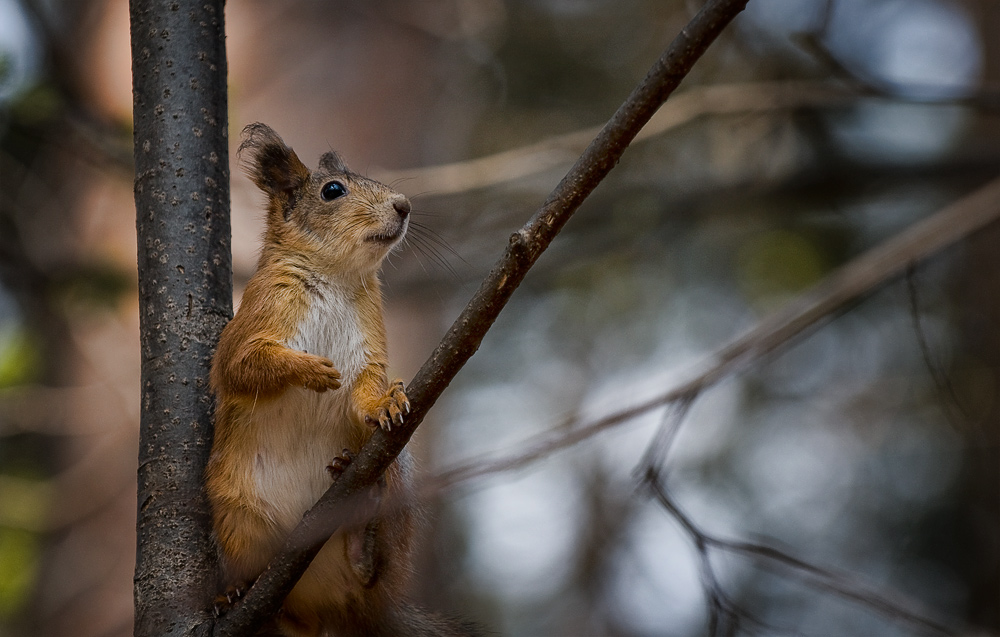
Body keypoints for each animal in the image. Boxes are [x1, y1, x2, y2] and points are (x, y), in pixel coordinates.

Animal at [205, 124, 474, 636]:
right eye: (333, 191)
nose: (404, 206)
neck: (336, 275)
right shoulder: (252, 322)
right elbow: (241, 366)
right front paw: (311, 370)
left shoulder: (370, 342)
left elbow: (366, 385)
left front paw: (384, 403)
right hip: (237, 516)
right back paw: (235, 591)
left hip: (394, 480)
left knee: (369, 570)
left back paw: (361, 540)